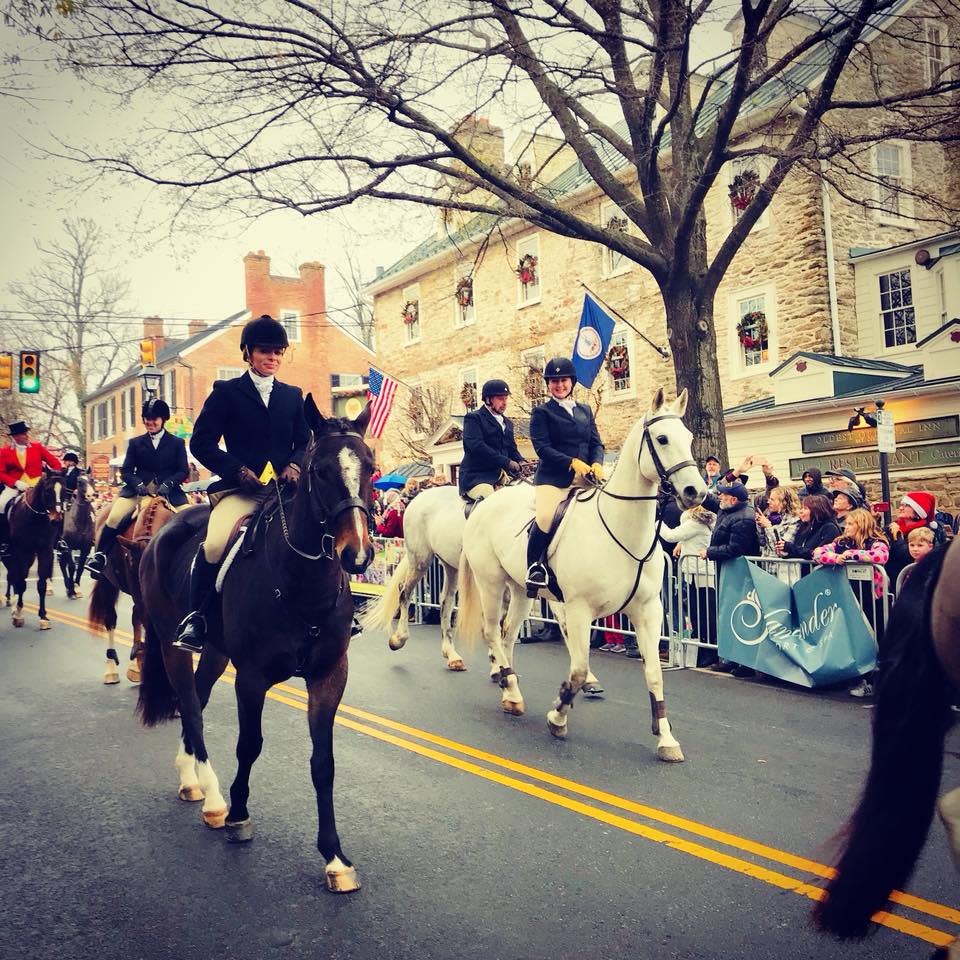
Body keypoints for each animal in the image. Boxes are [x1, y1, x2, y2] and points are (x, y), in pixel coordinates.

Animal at [2, 470, 64, 632]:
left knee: (13, 576)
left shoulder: (45, 552)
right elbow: (21, 583)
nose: (57, 520)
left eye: (64, 491)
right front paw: (18, 615)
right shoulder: (22, 552)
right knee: (13, 577)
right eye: (48, 491)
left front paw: (43, 617)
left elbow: (41, 584)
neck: (35, 518)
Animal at [136, 398, 376, 892]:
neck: (301, 583)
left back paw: (190, 776)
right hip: (174, 646)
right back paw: (213, 799)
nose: (358, 554)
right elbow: (250, 744)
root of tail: (167, 524)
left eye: (372, 468)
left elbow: (323, 763)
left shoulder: (329, 676)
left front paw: (335, 858)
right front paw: (239, 816)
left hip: (214, 652)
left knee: (197, 700)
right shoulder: (252, 677)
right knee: (190, 707)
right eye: (320, 470)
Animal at [458, 386, 704, 760]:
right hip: (491, 583)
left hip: (521, 589)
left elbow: (653, 674)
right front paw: (557, 717)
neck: (623, 532)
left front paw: (666, 739)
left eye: (688, 438)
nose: (697, 493)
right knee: (491, 632)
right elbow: (577, 669)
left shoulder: (648, 611)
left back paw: (508, 687)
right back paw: (510, 688)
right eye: (662, 439)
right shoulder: (579, 610)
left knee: (507, 634)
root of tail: (485, 504)